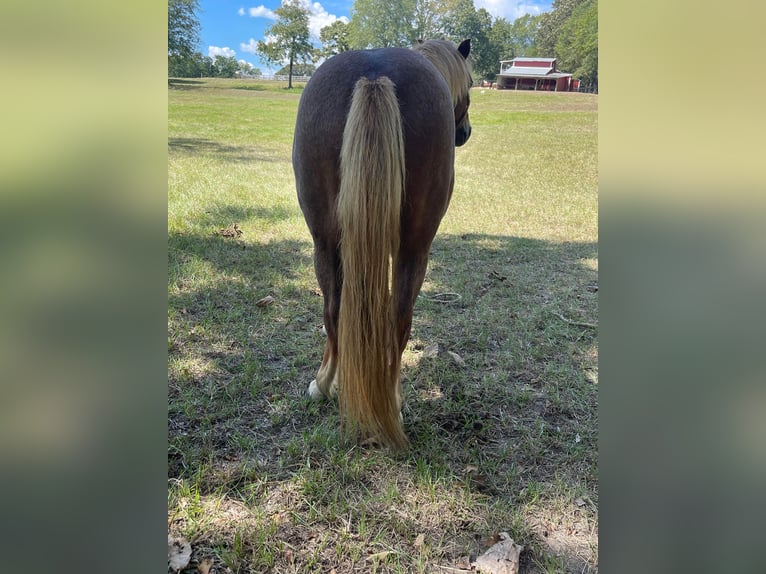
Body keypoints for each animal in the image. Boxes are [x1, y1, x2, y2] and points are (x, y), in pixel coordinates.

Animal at [294, 38, 474, 452]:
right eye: (472, 85)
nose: (465, 132)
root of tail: (374, 74)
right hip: (415, 248)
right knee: (399, 320)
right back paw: (389, 399)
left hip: (325, 241)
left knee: (334, 311)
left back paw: (326, 385)